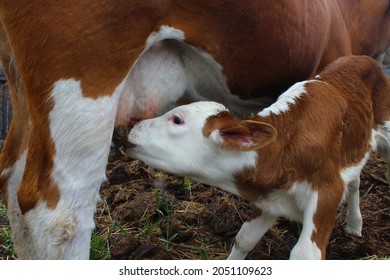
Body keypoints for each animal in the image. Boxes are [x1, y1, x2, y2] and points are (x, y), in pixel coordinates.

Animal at [128, 55, 390, 260]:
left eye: (177, 119)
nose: (133, 125)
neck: (286, 150)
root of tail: (363, 58)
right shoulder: (270, 200)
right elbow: (244, 238)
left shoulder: (327, 189)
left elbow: (304, 254)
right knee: (355, 181)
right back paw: (354, 225)